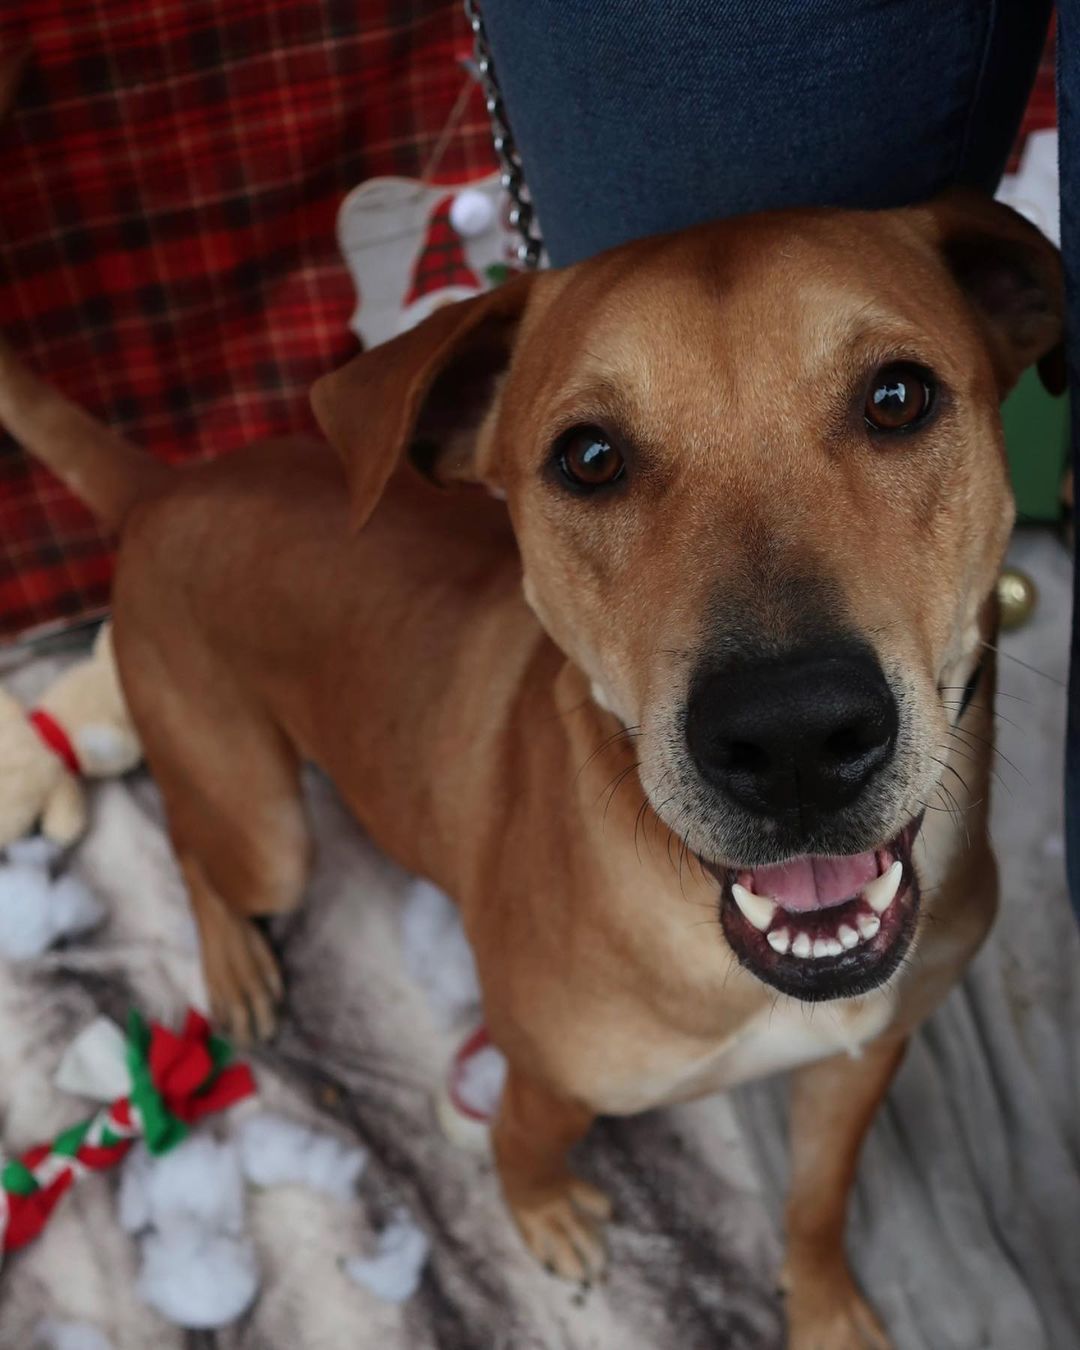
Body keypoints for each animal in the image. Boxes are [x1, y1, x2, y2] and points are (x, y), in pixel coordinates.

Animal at [2, 193, 1063, 1350]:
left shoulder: (860, 1061)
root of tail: (167, 484)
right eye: (589, 457)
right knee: (198, 842)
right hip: (265, 826)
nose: (791, 739)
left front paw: (823, 1306)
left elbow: (819, 1201)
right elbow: (521, 1144)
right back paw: (235, 960)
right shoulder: (543, 1077)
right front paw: (543, 1213)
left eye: (898, 398)